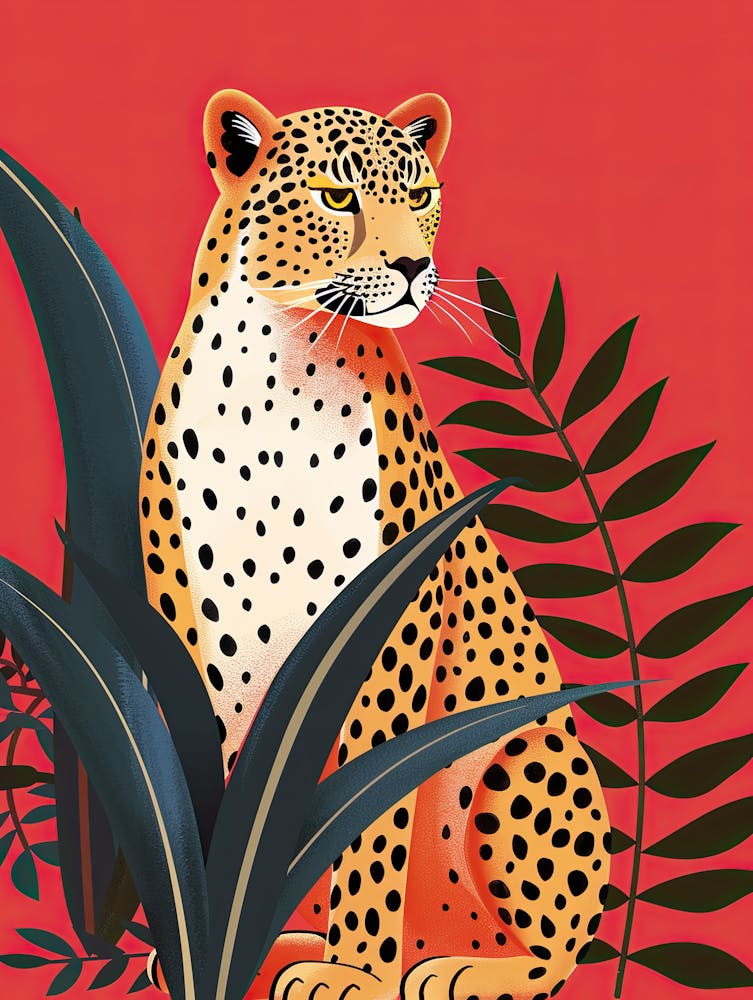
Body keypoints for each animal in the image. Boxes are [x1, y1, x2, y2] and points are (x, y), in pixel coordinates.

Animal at [138, 88, 611, 1000]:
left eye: (419, 193)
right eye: (335, 196)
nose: (412, 269)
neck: (282, 362)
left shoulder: (382, 633)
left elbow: (371, 825)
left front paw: (352, 972)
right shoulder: (193, 637)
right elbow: (211, 795)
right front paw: (208, 945)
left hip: (517, 760)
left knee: (559, 949)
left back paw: (460, 970)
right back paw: (287, 945)